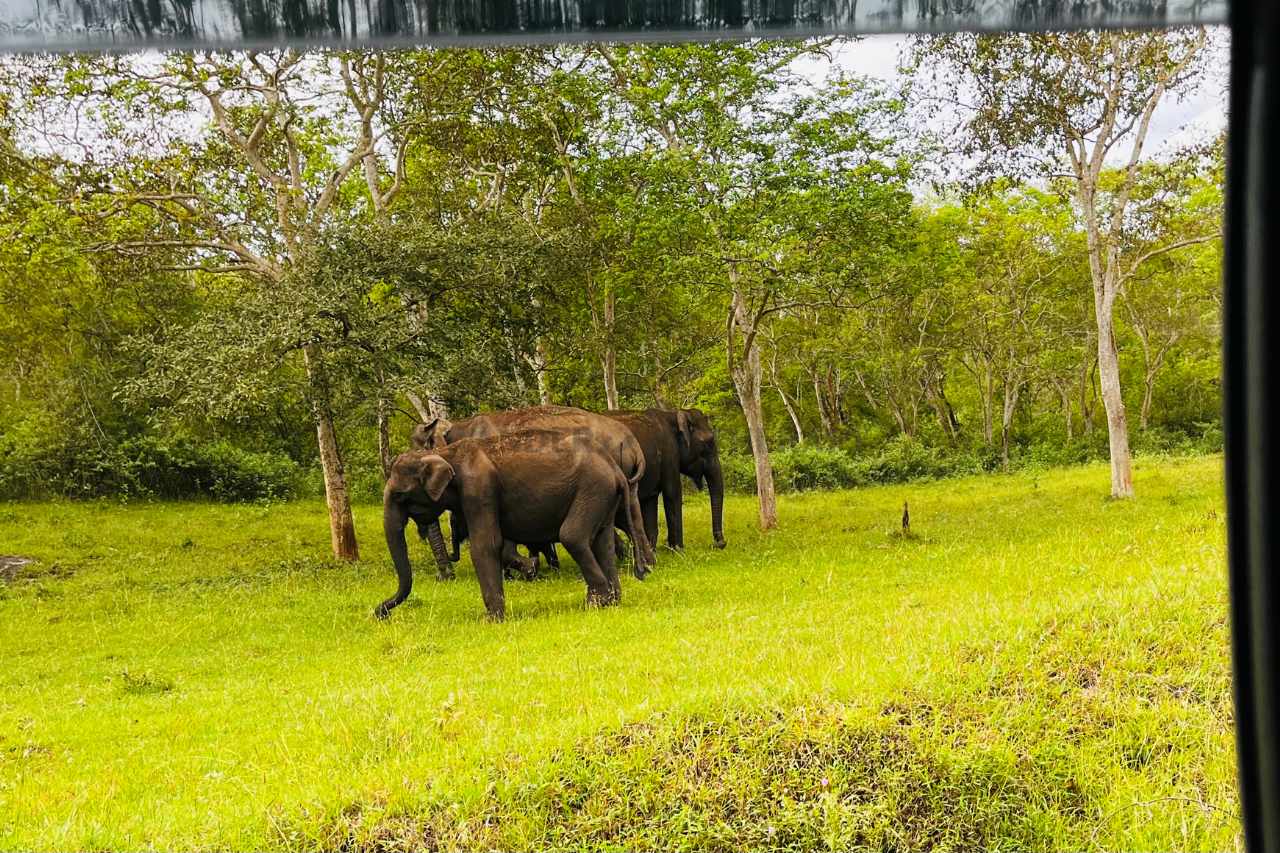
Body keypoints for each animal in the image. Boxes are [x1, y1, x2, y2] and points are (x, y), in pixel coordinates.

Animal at [378, 425, 640, 617]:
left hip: (592, 489)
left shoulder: (479, 489)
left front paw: (492, 619)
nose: (380, 612)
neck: (447, 453)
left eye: (400, 495)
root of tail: (616, 469)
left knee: (573, 536)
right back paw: (613, 600)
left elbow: (485, 545)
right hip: (603, 496)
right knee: (602, 542)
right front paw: (529, 568)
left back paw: (596, 603)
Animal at [604, 407, 727, 550]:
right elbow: (673, 493)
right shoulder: (669, 453)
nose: (719, 544)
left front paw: (654, 549)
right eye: (709, 442)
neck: (672, 414)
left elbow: (650, 500)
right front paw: (678, 549)